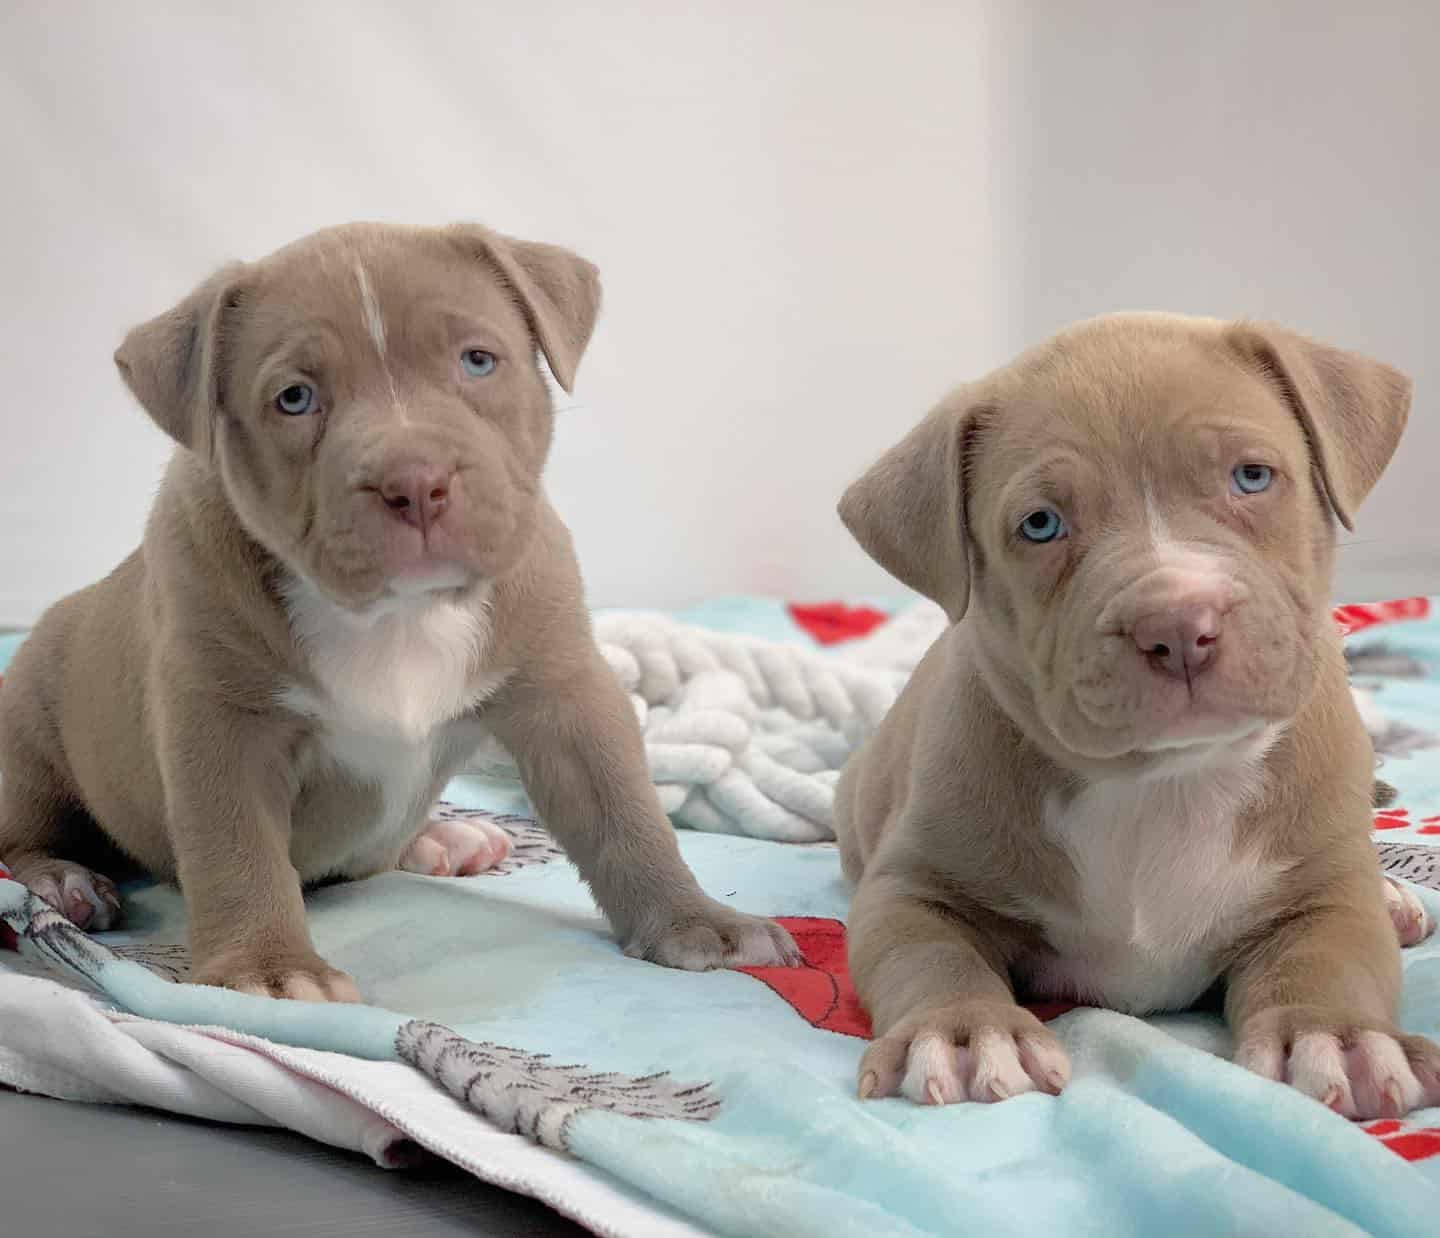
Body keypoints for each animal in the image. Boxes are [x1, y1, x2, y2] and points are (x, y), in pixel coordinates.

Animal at [0, 220, 800, 996]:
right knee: (20, 836)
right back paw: (65, 884)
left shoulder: (566, 695)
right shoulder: (221, 722)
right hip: (27, 737)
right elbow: (236, 847)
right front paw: (268, 969)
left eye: (477, 361)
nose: (415, 480)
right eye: (294, 398)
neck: (398, 614)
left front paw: (697, 921)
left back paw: (441, 837)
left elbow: (624, 810)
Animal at [835, 312, 1440, 1122]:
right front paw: (964, 1032)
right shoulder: (915, 885)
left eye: (1252, 476)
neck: (1168, 780)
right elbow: (928, 952)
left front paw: (1336, 1036)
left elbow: (1328, 957)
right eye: (1041, 524)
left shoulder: (1326, 895)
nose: (1179, 623)